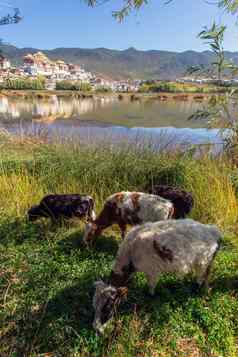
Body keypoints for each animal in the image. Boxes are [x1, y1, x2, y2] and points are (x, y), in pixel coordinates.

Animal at [92, 217, 221, 334]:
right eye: (94, 304)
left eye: (108, 306)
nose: (96, 329)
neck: (131, 251)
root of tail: (212, 230)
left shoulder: (152, 271)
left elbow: (151, 288)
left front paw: (150, 298)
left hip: (203, 262)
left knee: (201, 278)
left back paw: (197, 290)